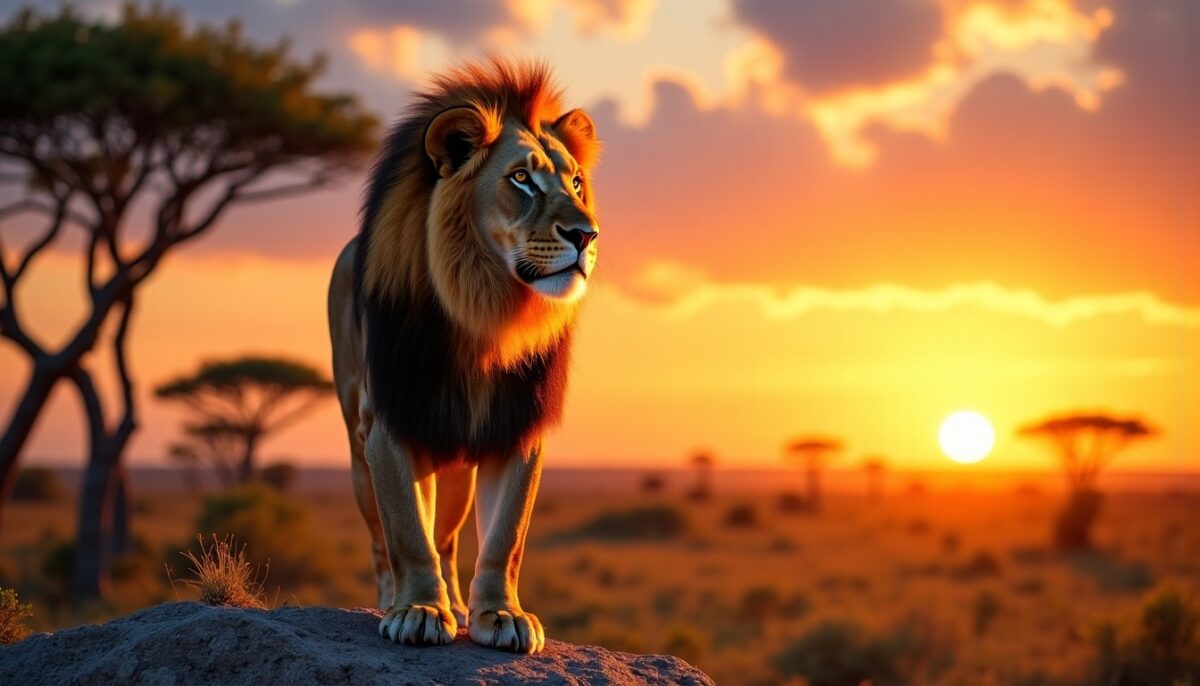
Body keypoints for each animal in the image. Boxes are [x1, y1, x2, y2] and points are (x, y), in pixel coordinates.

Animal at [327, 58, 600, 654]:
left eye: (575, 182)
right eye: (521, 179)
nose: (587, 234)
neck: (487, 314)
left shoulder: (518, 426)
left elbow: (505, 537)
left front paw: (500, 615)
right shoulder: (392, 421)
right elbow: (408, 532)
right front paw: (417, 610)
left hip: (455, 471)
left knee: (449, 540)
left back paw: (454, 602)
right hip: (359, 455)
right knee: (384, 540)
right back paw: (393, 599)